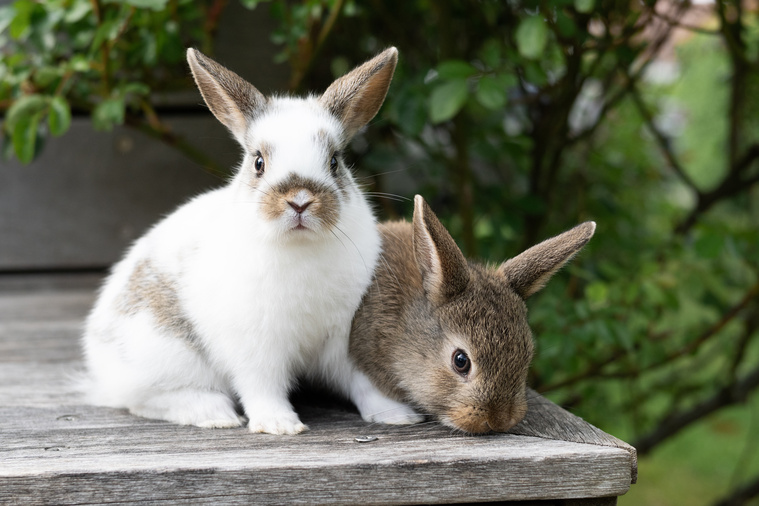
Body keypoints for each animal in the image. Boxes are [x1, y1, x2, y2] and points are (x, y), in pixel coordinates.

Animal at [81, 46, 422, 434]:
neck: (299, 248)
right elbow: (262, 386)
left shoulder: (345, 337)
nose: (300, 201)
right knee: (146, 399)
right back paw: (214, 413)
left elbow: (362, 381)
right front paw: (280, 424)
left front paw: (396, 415)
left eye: (335, 162)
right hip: (164, 353)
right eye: (258, 162)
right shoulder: (255, 347)